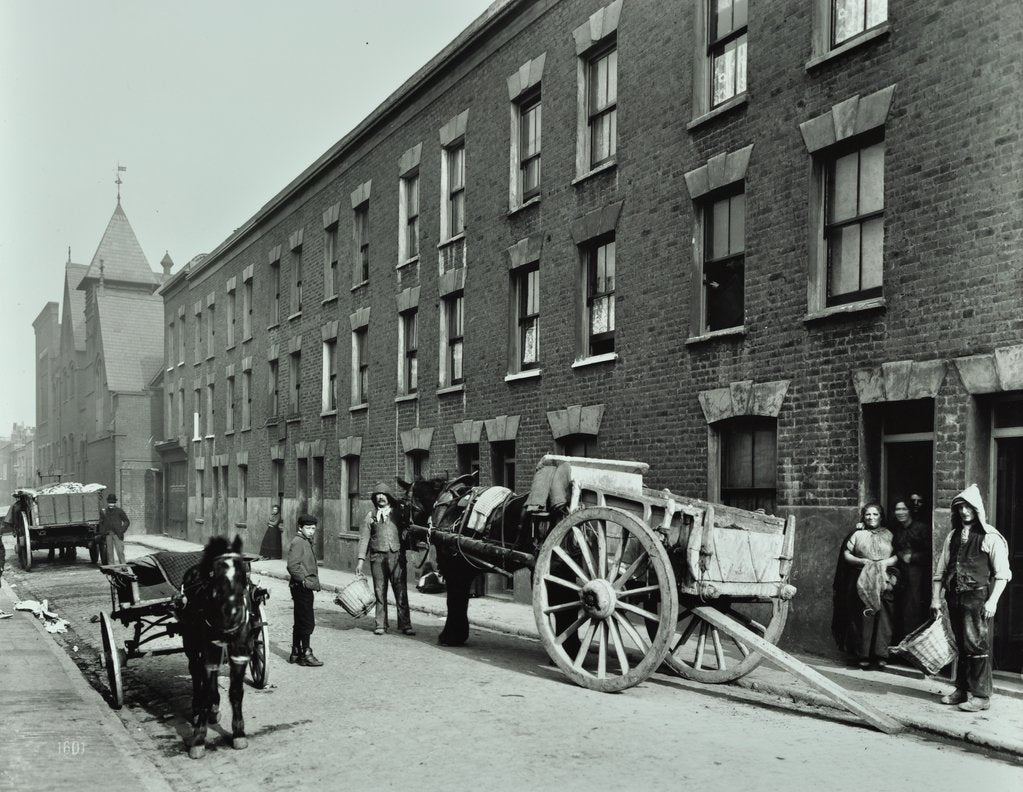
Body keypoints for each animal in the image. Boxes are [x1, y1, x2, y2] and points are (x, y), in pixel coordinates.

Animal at [176, 536, 254, 761]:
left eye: (242, 572)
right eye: (214, 574)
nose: (233, 612)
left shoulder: (240, 652)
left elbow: (236, 692)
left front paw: (239, 733)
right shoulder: (208, 650)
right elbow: (205, 692)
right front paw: (198, 739)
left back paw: (214, 708)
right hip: (191, 642)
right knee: (195, 671)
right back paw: (197, 710)